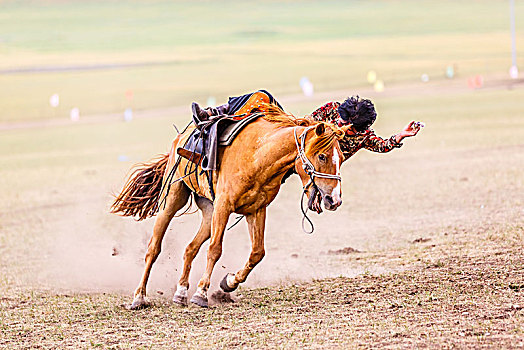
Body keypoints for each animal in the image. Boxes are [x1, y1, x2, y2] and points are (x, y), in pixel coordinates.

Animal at [111, 107, 348, 308]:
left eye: (342, 157)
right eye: (322, 156)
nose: (334, 199)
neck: (258, 155)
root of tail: (180, 138)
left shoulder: (256, 210)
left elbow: (257, 253)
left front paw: (229, 282)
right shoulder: (224, 206)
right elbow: (215, 250)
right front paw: (202, 293)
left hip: (209, 213)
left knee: (190, 248)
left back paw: (181, 292)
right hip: (173, 201)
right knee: (154, 248)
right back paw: (139, 297)